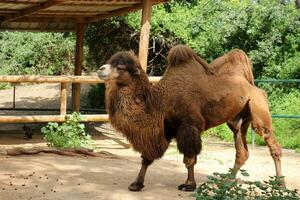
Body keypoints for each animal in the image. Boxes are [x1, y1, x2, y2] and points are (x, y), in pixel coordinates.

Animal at [97, 45, 282, 192]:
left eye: (120, 67)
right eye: (110, 61)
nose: (100, 69)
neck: (159, 102)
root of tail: (254, 87)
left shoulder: (189, 125)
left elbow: (189, 158)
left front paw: (188, 184)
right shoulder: (165, 129)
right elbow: (147, 158)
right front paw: (136, 183)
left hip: (259, 110)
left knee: (272, 145)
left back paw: (280, 184)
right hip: (237, 120)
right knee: (242, 150)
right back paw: (227, 181)